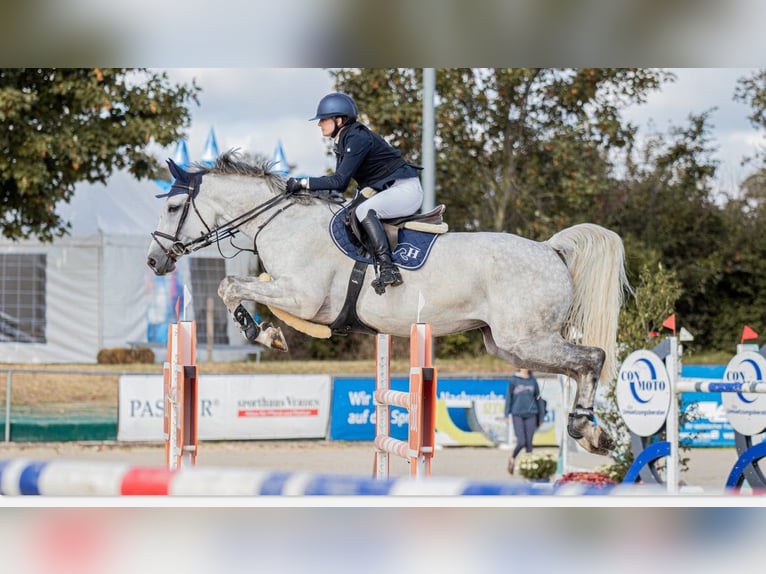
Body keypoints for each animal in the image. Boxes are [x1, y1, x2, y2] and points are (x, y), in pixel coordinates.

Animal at [148, 153, 632, 460]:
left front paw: (264, 333)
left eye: (173, 206)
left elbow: (230, 286)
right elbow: (233, 286)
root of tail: (551, 249)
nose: (154, 261)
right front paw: (266, 331)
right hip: (510, 346)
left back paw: (588, 430)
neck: (279, 222)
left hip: (526, 338)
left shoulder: (303, 297)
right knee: (576, 366)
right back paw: (590, 432)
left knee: (592, 358)